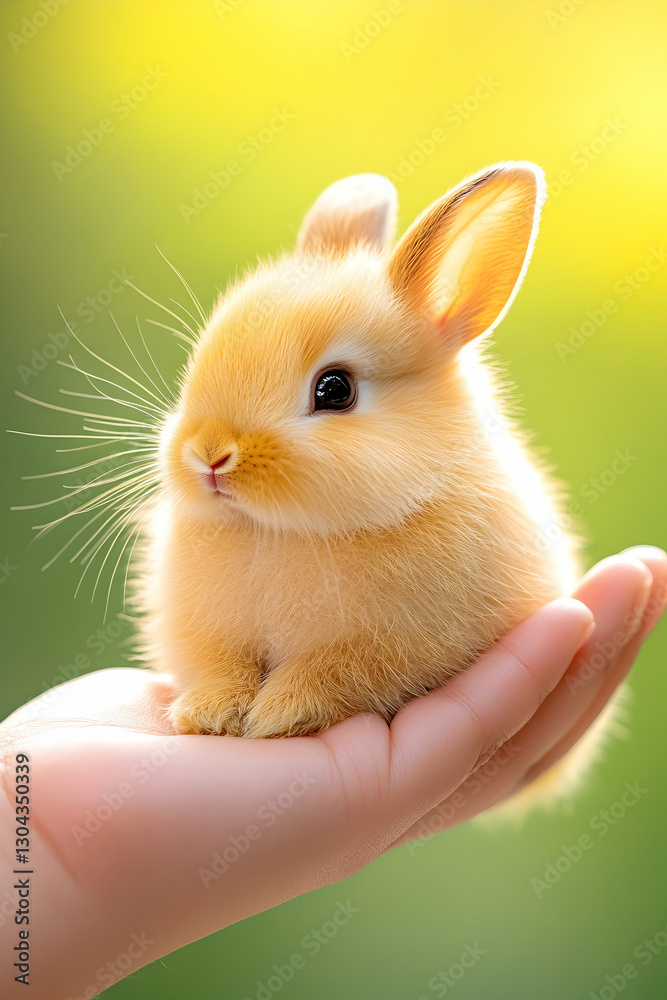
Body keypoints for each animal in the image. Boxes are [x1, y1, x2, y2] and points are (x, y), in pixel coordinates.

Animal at [140, 161, 585, 748]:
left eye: (335, 390)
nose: (209, 455)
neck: (278, 532)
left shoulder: (397, 646)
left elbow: (335, 670)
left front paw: (278, 714)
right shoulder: (207, 635)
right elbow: (220, 666)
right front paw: (209, 713)